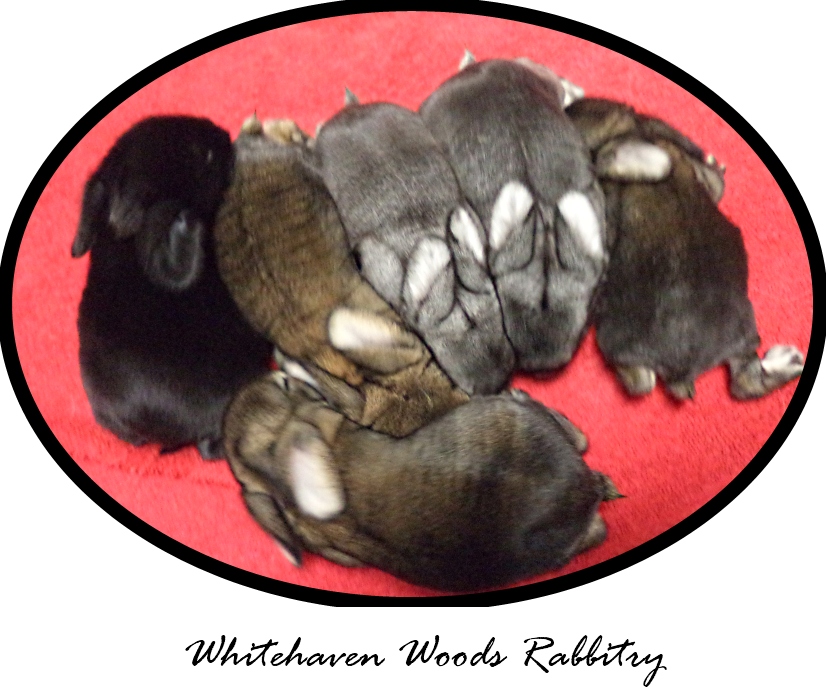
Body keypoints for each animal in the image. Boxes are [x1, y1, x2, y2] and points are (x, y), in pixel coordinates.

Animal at [223, 370, 619, 593]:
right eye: (284, 384)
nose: (279, 371)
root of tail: (583, 493)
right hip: (511, 417)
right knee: (579, 439)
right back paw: (520, 395)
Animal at [565, 97, 804, 399]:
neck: (631, 131)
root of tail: (682, 370)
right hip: (742, 333)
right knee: (742, 382)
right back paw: (789, 362)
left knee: (642, 381)